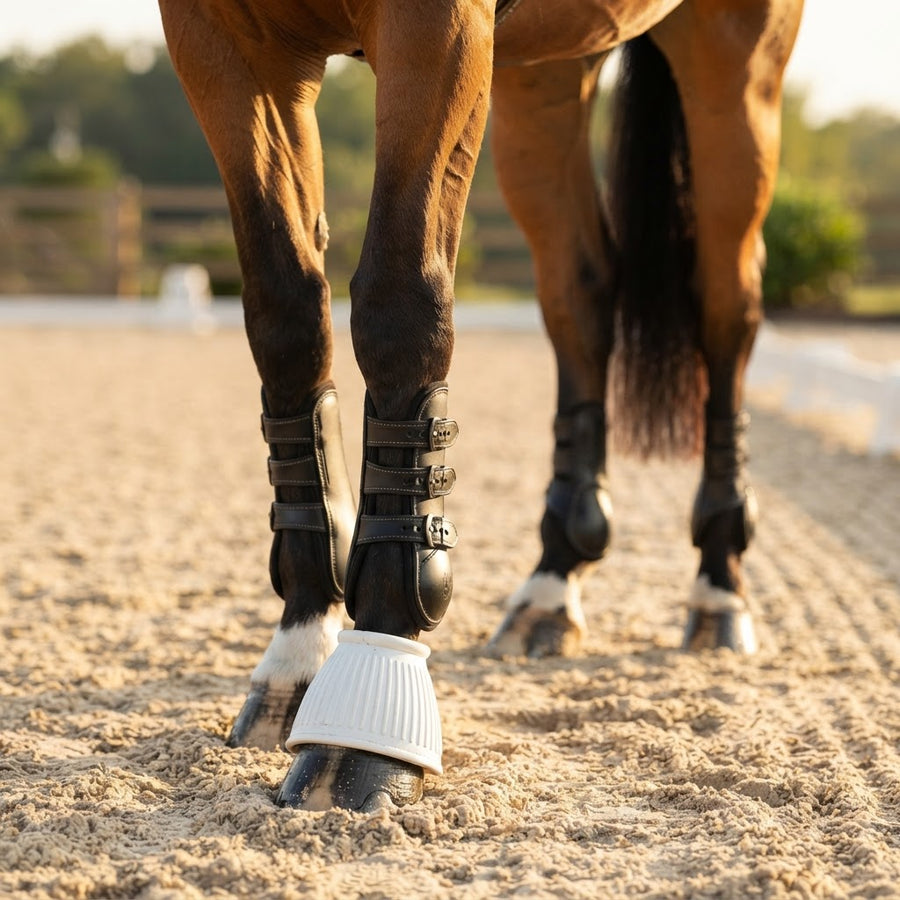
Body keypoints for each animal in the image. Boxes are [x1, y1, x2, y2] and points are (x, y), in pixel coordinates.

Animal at [157, 0, 805, 811]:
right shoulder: (221, 44)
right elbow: (286, 315)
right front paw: (299, 657)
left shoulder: (436, 28)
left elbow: (401, 302)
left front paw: (359, 723)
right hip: (547, 76)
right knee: (582, 292)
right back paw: (552, 585)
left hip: (736, 61)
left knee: (726, 305)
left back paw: (720, 589)